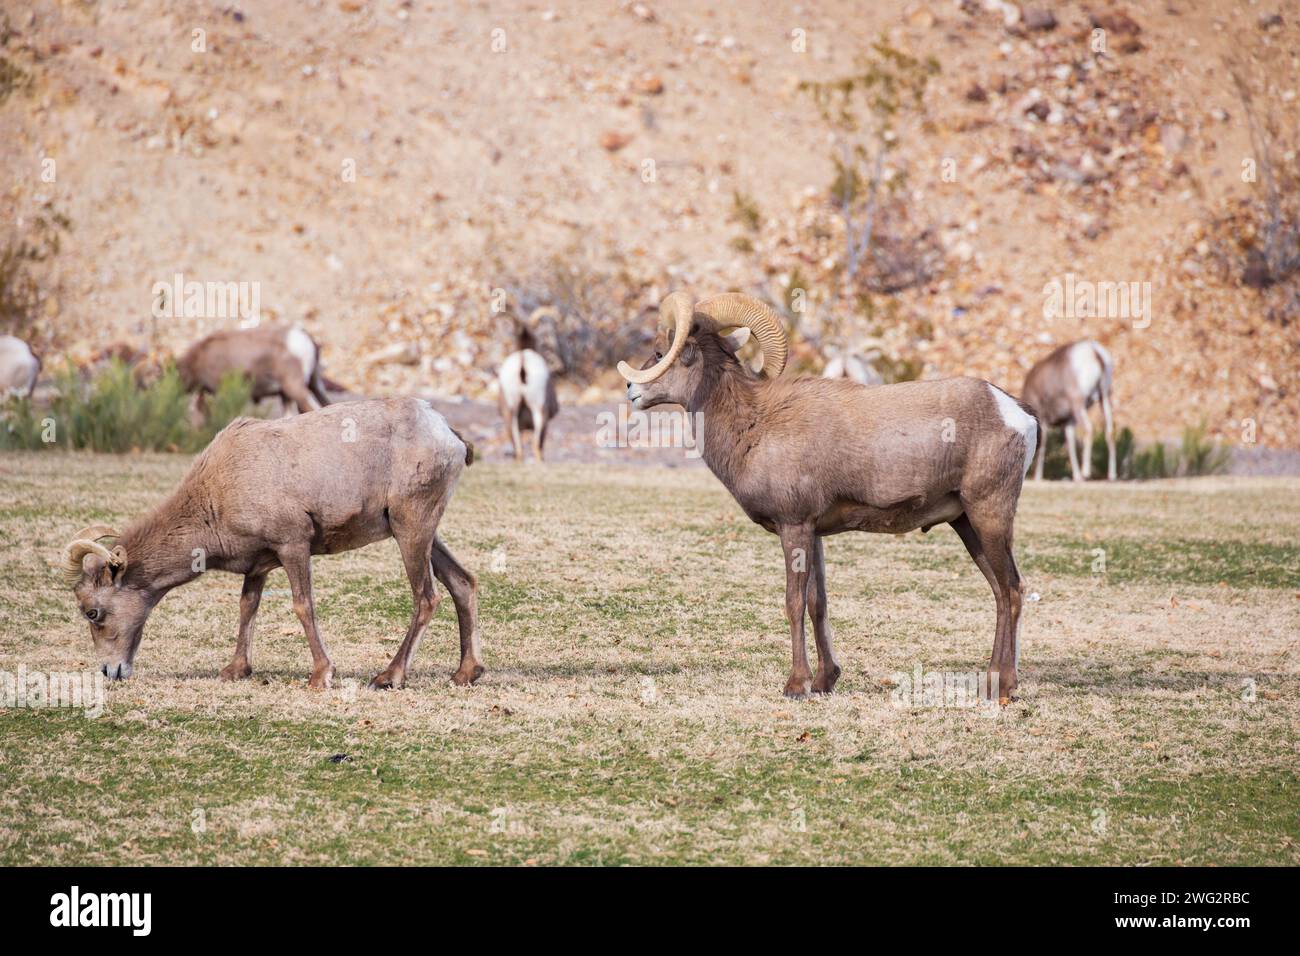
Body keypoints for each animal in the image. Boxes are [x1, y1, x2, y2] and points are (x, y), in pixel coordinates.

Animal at [62, 399, 483, 691]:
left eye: (92, 613)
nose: (110, 671)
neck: (217, 492)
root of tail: (447, 434)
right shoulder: (259, 564)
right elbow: (247, 607)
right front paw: (235, 671)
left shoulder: (293, 545)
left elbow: (302, 606)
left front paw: (320, 676)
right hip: (422, 533)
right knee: (462, 583)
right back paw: (465, 674)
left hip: (411, 531)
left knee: (426, 597)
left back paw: (389, 677)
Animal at [619, 292, 1038, 701]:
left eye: (660, 351)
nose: (631, 390)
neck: (753, 424)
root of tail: (1018, 413)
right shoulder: (814, 533)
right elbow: (817, 604)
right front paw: (824, 681)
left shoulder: (794, 527)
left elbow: (793, 603)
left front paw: (796, 686)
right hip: (966, 524)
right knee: (1001, 592)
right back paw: (993, 683)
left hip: (989, 515)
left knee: (1012, 589)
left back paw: (1004, 688)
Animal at [1021, 340, 1116, 482]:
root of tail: (1095, 352)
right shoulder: (1069, 422)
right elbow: (1071, 446)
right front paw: (1076, 477)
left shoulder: (1043, 419)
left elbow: (1043, 446)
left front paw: (1038, 477)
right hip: (1104, 399)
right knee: (1110, 432)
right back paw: (1111, 475)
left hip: (1079, 404)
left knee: (1089, 429)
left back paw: (1086, 473)